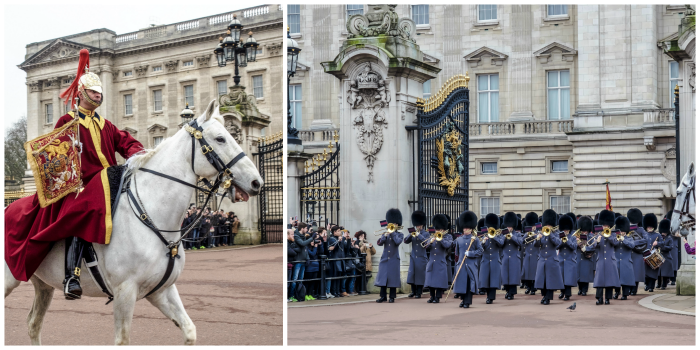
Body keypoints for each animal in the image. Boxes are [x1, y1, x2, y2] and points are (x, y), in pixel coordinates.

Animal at [3, 98, 262, 344]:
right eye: (220, 139)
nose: (256, 182)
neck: (154, 217)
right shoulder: (124, 292)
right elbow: (123, 339)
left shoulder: (162, 291)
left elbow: (189, 331)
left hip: (42, 283)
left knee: (33, 323)